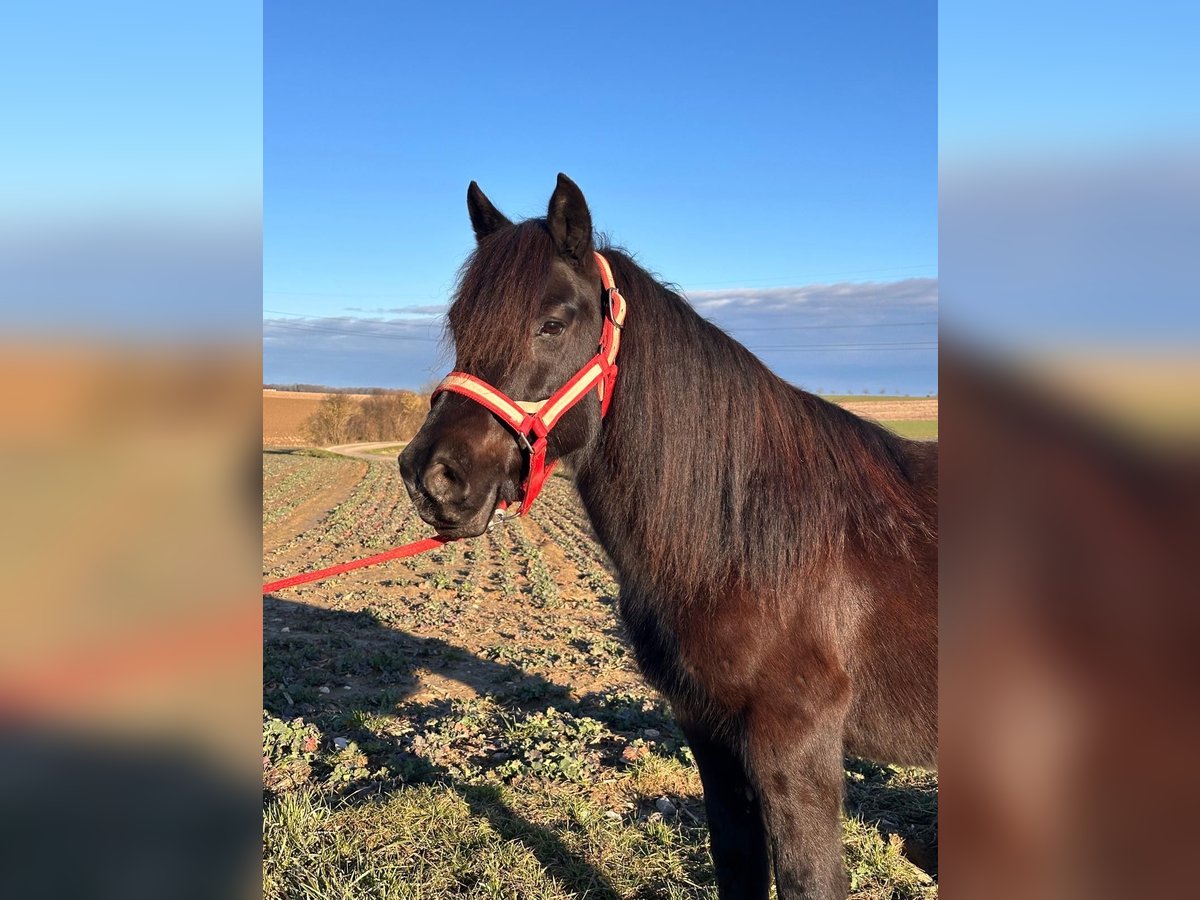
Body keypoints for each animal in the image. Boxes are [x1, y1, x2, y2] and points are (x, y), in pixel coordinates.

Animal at [398, 172, 940, 897]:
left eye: (553, 323)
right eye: (459, 324)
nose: (431, 477)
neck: (742, 541)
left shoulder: (797, 747)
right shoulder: (711, 736)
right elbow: (737, 866)